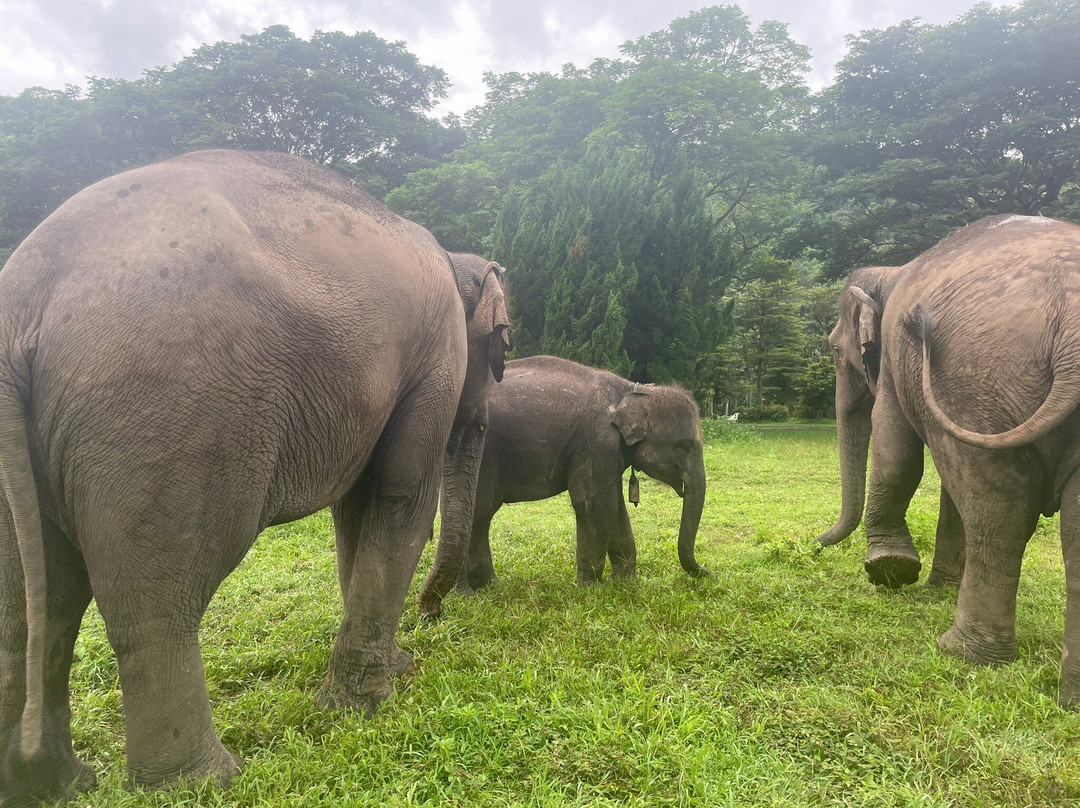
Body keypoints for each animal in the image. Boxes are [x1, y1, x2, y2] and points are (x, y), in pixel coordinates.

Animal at [0, 149, 509, 805]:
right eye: (502, 346)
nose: (432, 614)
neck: (452, 256)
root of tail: (24, 297)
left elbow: (357, 509)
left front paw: (383, 674)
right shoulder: (436, 354)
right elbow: (400, 495)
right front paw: (366, 704)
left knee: (35, 605)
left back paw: (56, 783)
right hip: (171, 416)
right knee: (156, 601)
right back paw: (207, 780)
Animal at [418, 355, 709, 618]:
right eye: (685, 446)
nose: (709, 573)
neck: (635, 390)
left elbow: (615, 509)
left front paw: (625, 584)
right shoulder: (597, 440)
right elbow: (595, 505)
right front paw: (591, 589)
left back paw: (489, 586)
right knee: (479, 511)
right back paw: (469, 592)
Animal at [825, 213, 1080, 707]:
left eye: (834, 349)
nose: (815, 542)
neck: (892, 271)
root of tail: (1073, 339)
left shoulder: (896, 359)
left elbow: (897, 456)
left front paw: (890, 568)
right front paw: (939, 586)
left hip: (979, 375)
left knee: (999, 513)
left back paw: (961, 651)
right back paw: (1067, 698)